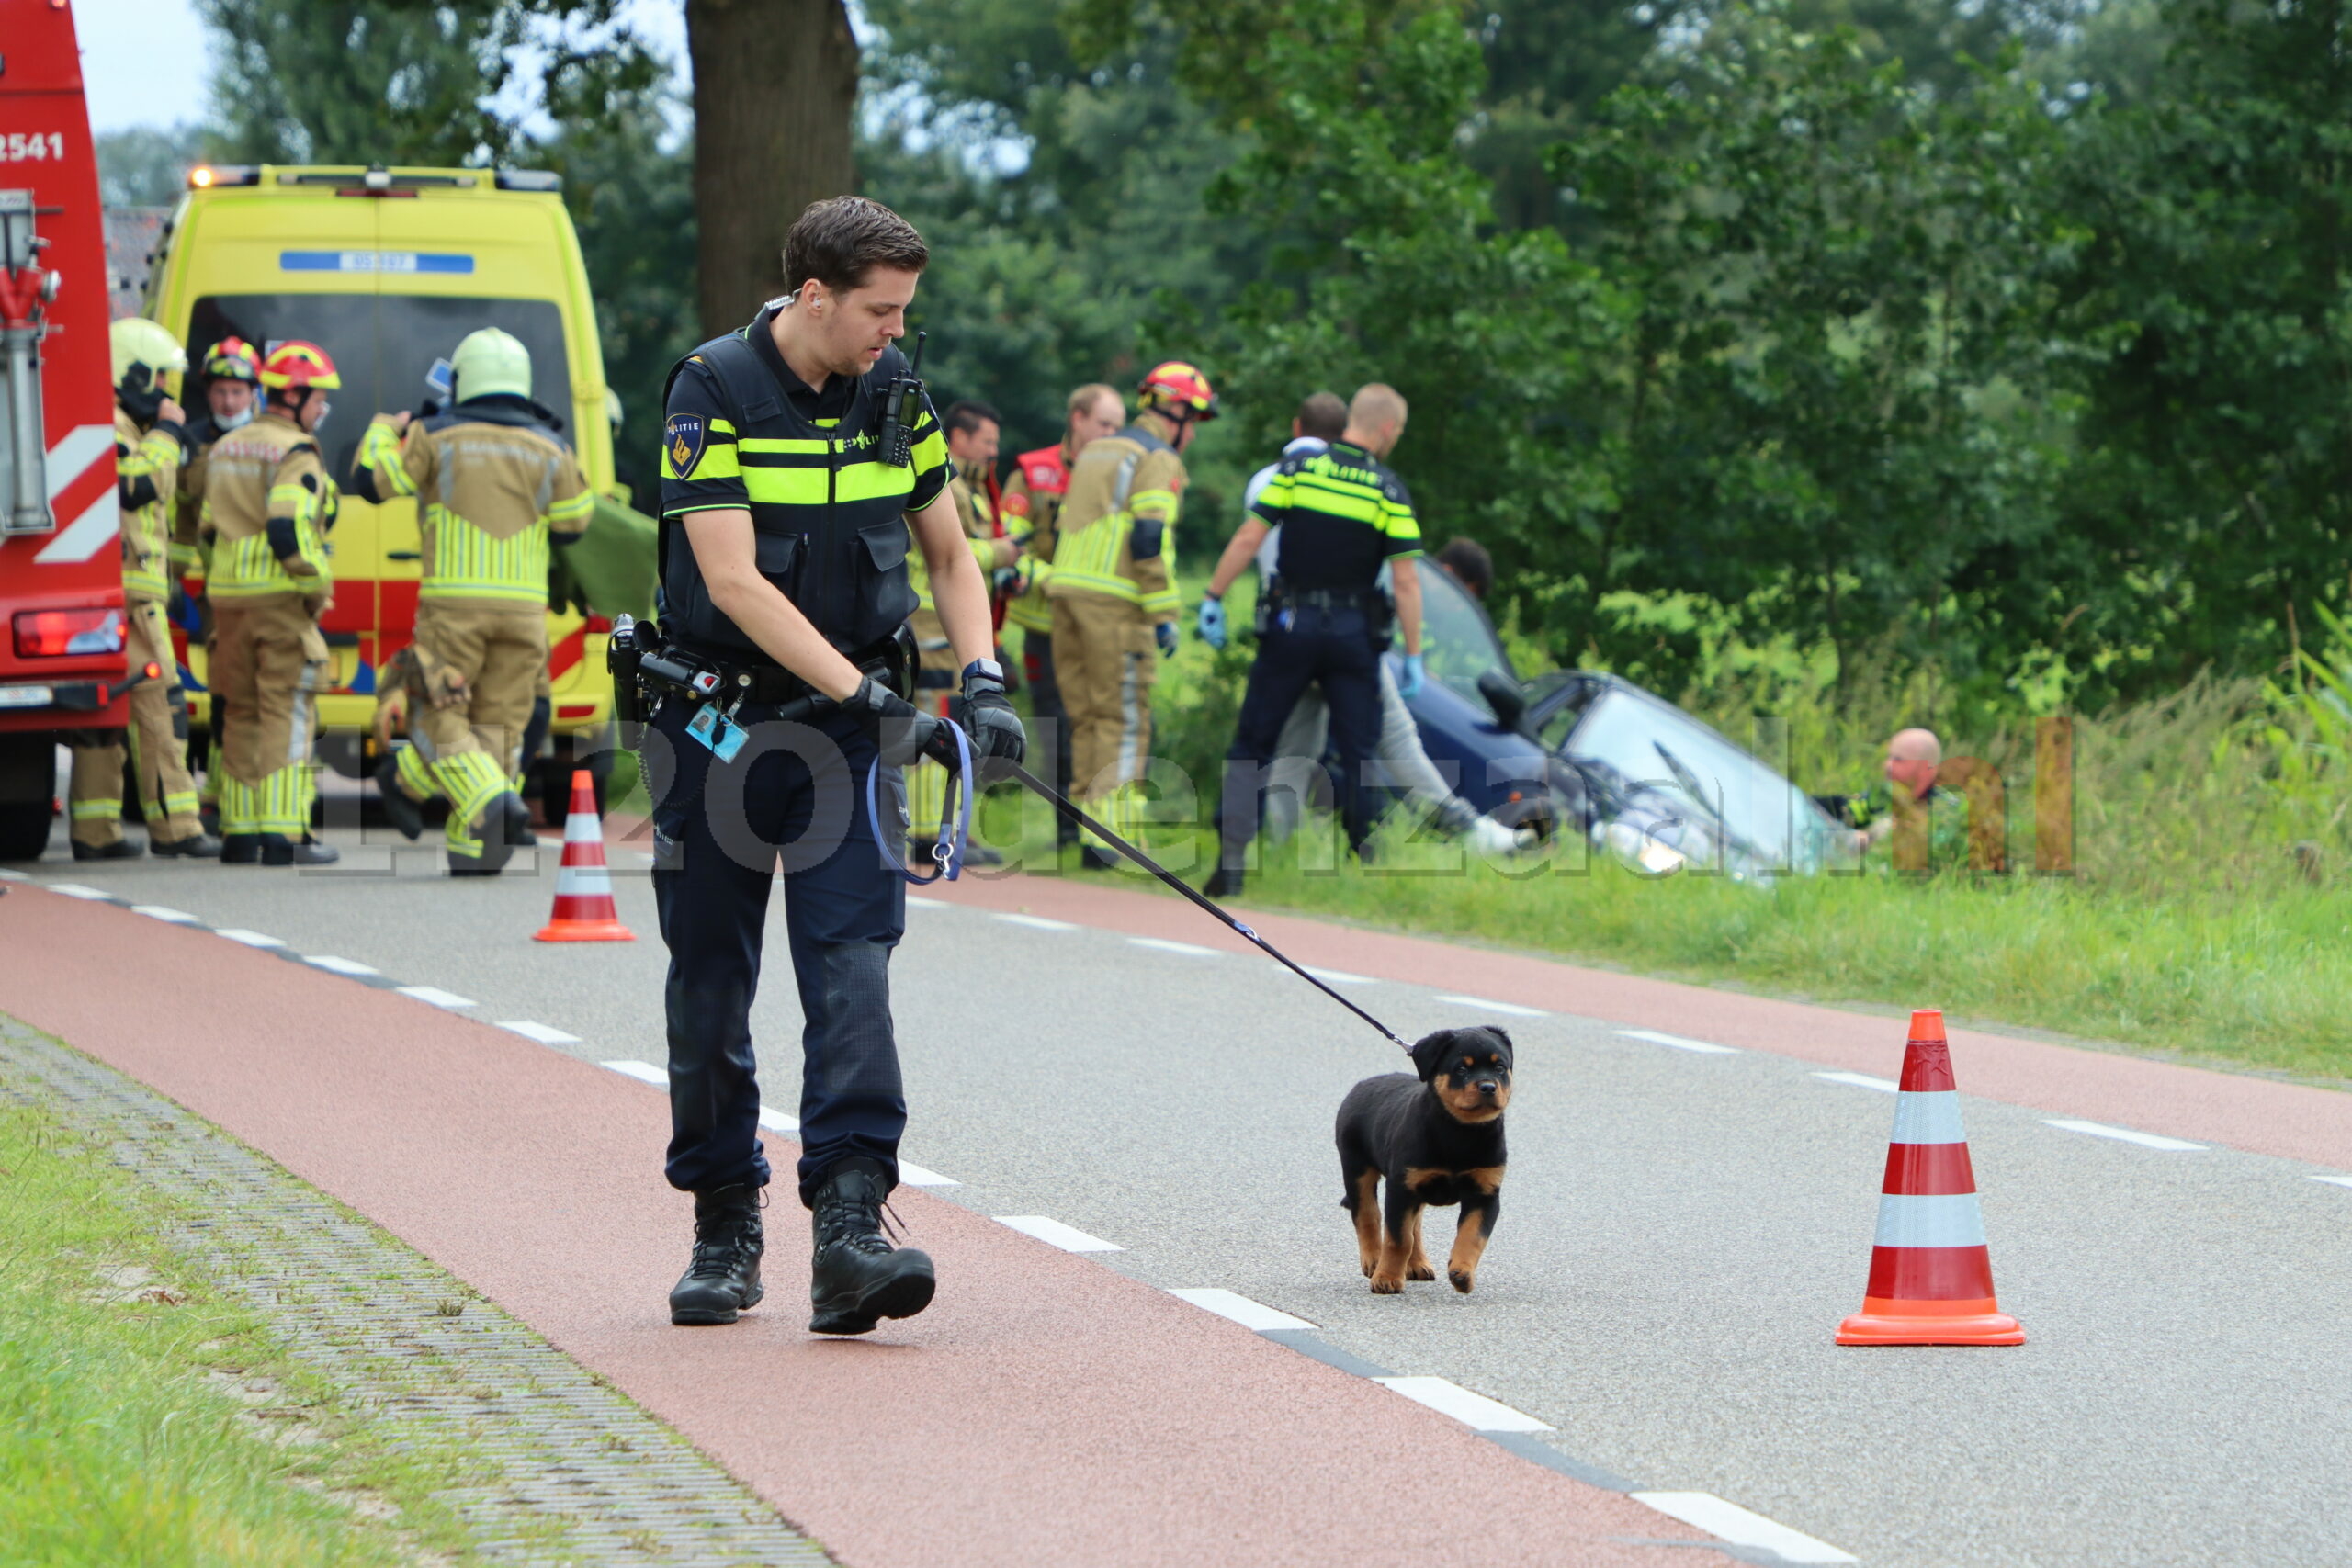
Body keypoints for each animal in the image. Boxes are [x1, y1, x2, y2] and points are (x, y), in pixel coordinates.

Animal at [644, 199, 1021, 1335]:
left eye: (892, 315)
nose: (890, 337)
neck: (809, 382)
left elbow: (944, 542)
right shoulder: (697, 425)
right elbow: (742, 567)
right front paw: (902, 712)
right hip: (699, 876)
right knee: (709, 994)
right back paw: (718, 1255)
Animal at [1336, 1024, 1514, 1297]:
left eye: (1500, 1068)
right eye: (1461, 1069)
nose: (1488, 1087)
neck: (1461, 1132)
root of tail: (1361, 1086)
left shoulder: (1485, 1194)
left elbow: (1472, 1236)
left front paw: (1462, 1272)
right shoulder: (1401, 1188)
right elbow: (1398, 1239)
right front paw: (1387, 1279)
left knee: (1415, 1225)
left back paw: (1417, 1264)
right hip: (1357, 1170)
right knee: (1367, 1216)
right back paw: (1374, 1261)